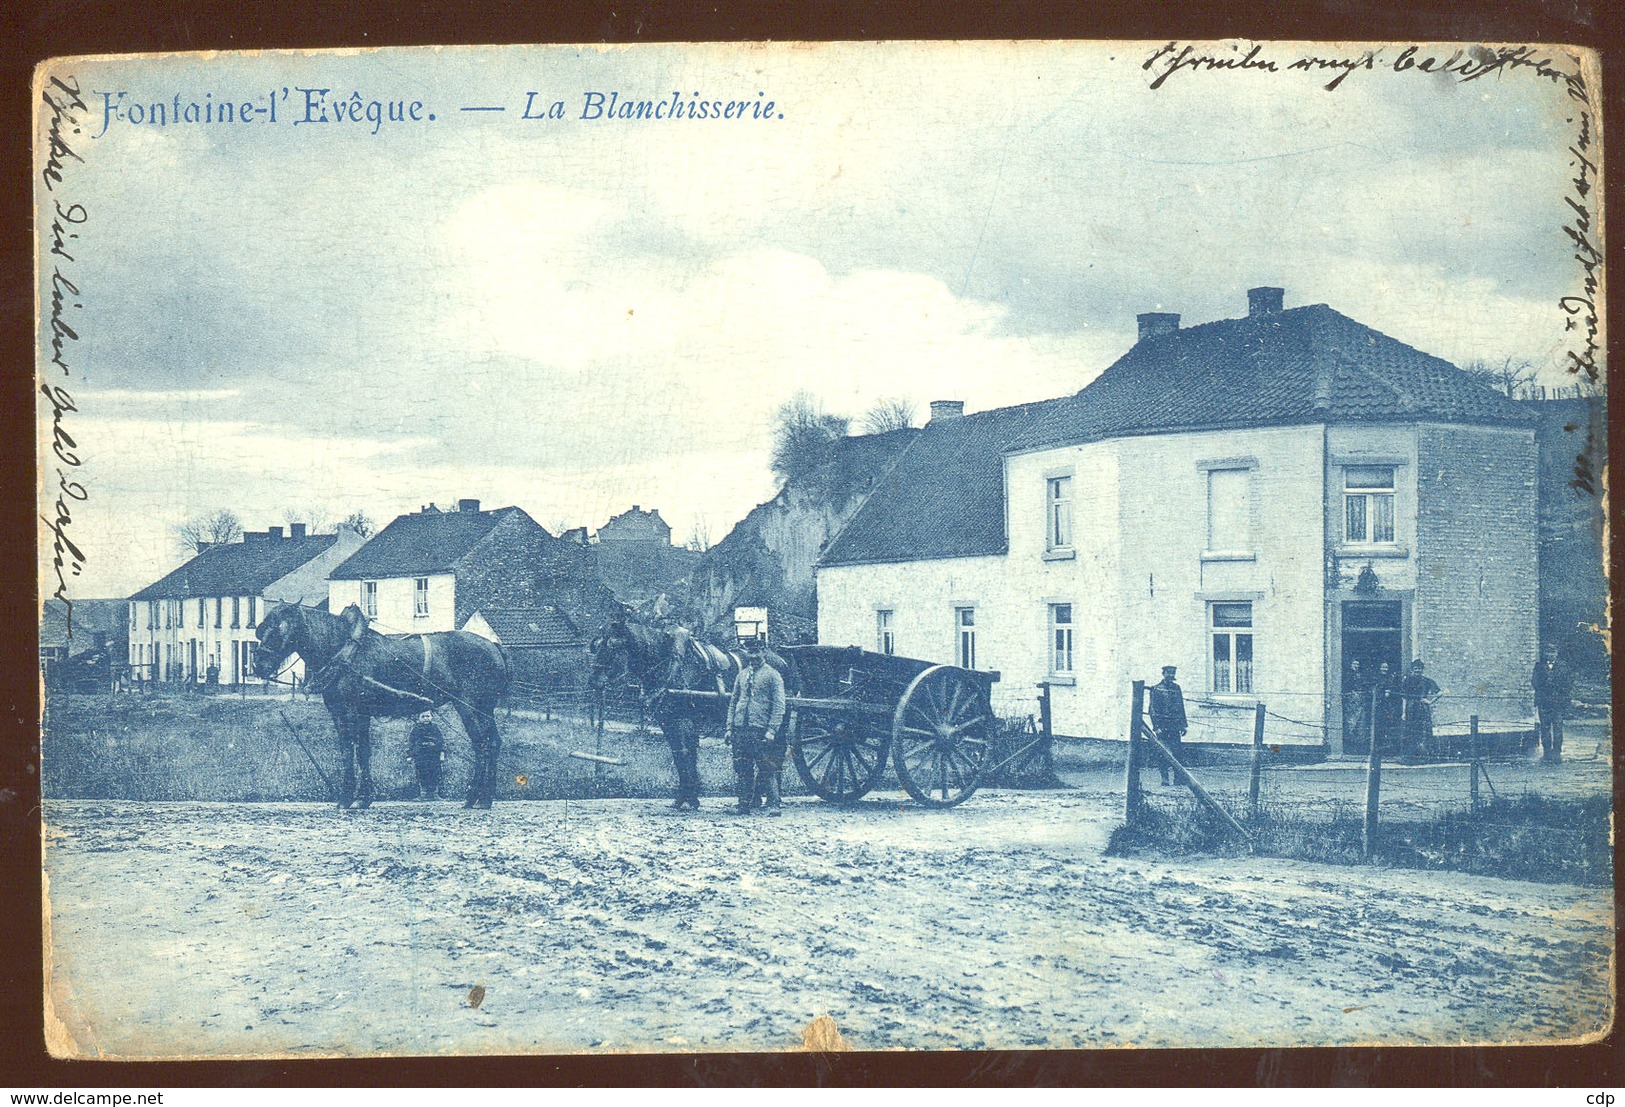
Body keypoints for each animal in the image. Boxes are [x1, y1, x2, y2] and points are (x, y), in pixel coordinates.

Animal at [253, 601, 510, 806]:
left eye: (278, 629)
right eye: (261, 628)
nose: (258, 666)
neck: (345, 652)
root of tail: (493, 646)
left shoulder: (351, 710)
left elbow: (354, 750)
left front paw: (349, 797)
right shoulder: (345, 711)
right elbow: (356, 751)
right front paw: (363, 797)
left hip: (468, 706)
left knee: (481, 745)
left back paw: (476, 797)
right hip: (484, 708)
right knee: (493, 743)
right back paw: (483, 798)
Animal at [591, 607, 744, 806]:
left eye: (613, 646)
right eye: (596, 645)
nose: (593, 681)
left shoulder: (683, 720)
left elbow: (686, 754)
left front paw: (690, 797)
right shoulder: (668, 721)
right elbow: (679, 756)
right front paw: (685, 797)